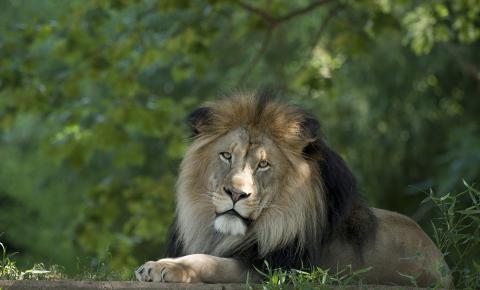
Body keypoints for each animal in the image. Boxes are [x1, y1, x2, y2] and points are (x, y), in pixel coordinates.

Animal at [136, 91, 454, 288]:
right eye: (226, 156)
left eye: (263, 164)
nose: (236, 194)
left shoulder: (277, 271)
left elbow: (210, 262)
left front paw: (163, 267)